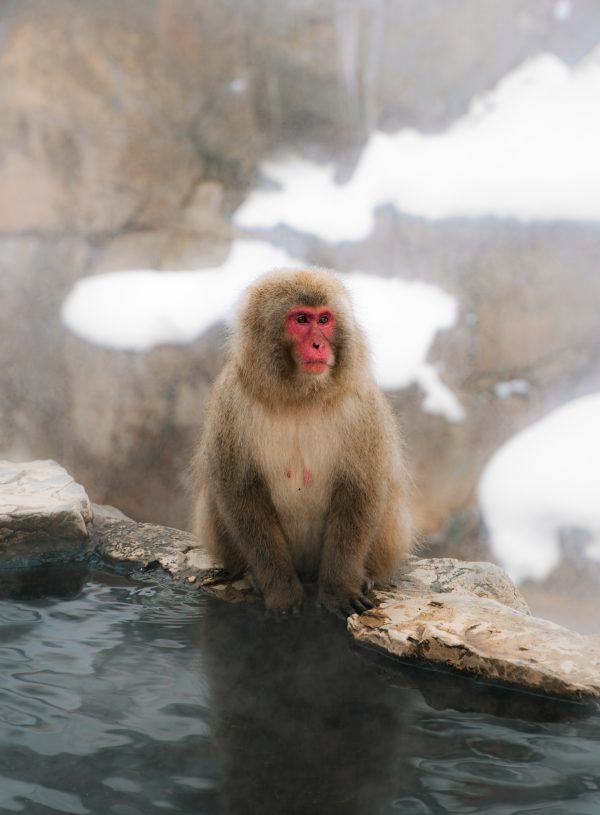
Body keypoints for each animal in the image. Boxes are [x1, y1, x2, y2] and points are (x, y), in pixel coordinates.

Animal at [191, 267, 414, 617]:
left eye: (324, 319)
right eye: (301, 320)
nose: (319, 344)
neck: (301, 396)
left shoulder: (361, 404)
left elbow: (360, 489)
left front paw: (339, 590)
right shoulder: (231, 401)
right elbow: (240, 491)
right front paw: (281, 590)